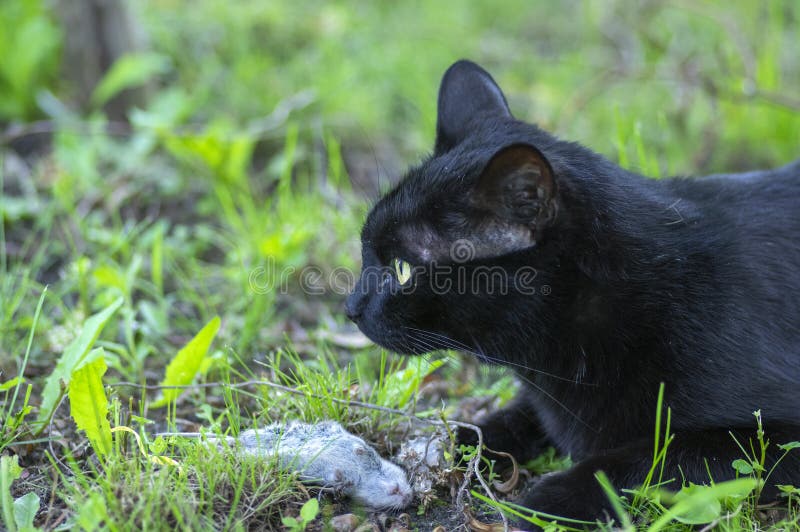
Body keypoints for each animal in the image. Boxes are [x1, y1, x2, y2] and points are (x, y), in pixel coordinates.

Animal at [346, 60, 800, 520]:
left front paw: (548, 502)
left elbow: (647, 461)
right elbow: (512, 419)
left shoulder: (776, 436)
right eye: (365, 247)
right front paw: (446, 443)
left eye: (403, 269)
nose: (351, 307)